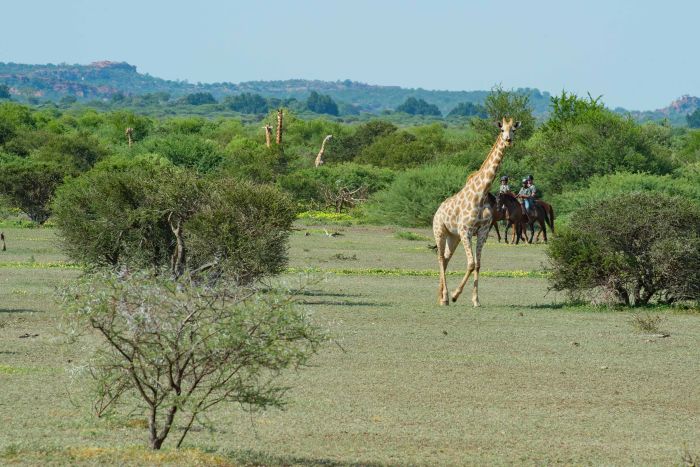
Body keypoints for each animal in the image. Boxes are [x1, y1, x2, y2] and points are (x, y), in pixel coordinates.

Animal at [432, 117, 520, 308]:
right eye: (502, 130)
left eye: (514, 130)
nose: (508, 140)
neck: (481, 194)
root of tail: (438, 210)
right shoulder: (466, 230)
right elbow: (471, 263)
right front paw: (456, 295)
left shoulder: (482, 231)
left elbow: (478, 264)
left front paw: (476, 300)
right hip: (440, 231)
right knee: (440, 258)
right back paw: (445, 297)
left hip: (453, 237)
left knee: (446, 258)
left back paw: (441, 296)